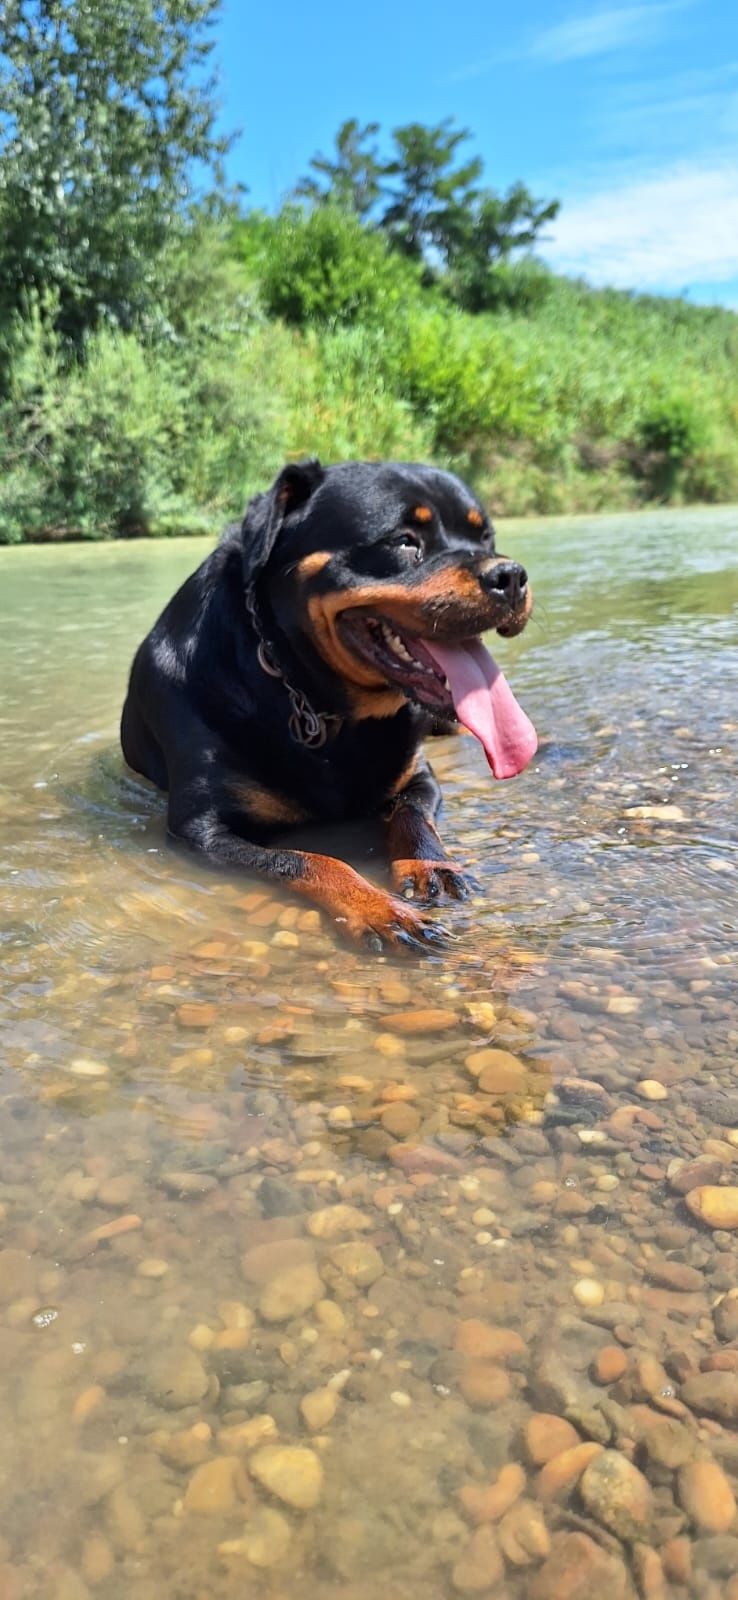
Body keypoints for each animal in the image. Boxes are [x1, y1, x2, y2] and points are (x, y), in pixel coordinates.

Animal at [122, 460, 534, 947]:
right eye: (403, 541)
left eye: (486, 538)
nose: (512, 576)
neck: (308, 692)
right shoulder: (200, 831)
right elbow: (307, 859)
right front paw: (379, 909)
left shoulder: (420, 777)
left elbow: (412, 815)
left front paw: (431, 865)